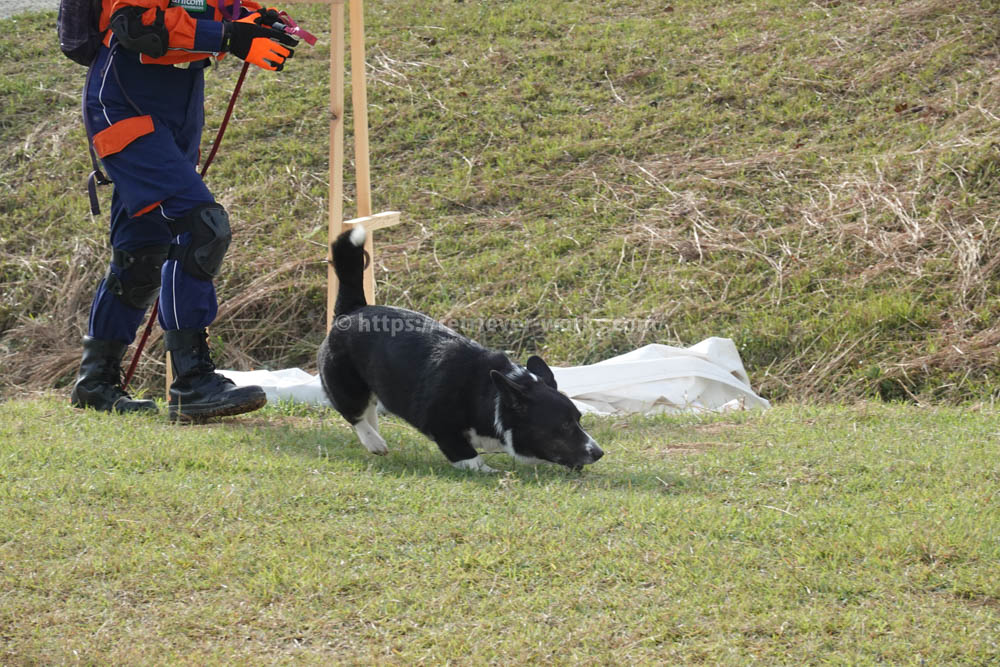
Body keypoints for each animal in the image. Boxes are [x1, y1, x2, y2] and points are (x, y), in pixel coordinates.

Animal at [318, 227, 600, 472]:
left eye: (578, 419)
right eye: (564, 425)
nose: (599, 452)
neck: (491, 397)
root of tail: (352, 310)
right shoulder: (443, 428)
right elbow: (468, 457)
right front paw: (489, 471)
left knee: (367, 411)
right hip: (346, 385)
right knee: (353, 413)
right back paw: (374, 441)